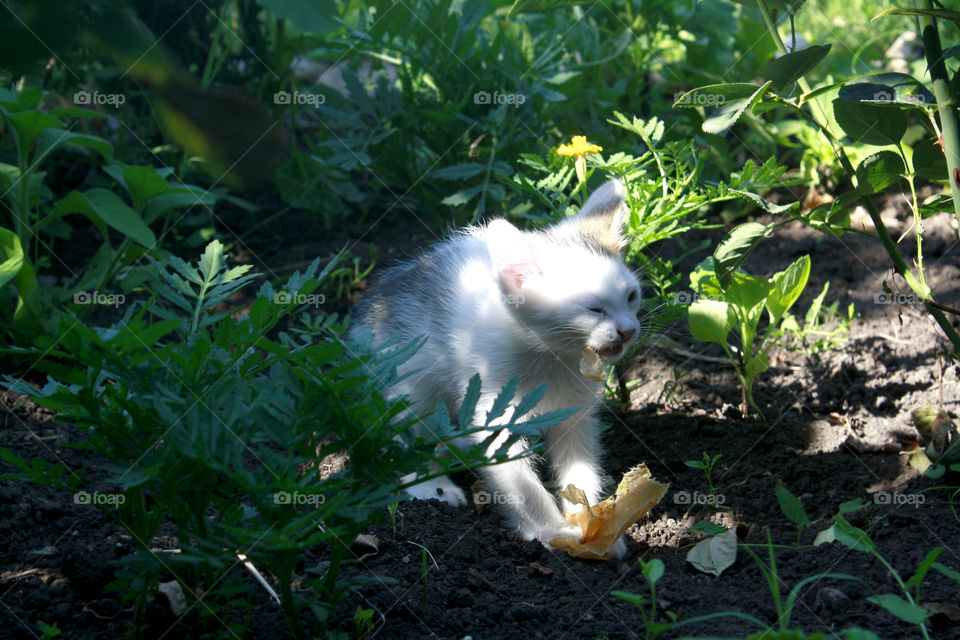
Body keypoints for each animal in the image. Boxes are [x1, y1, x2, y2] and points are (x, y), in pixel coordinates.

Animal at [348, 179, 640, 556]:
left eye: (632, 297)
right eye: (595, 309)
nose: (629, 330)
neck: (552, 354)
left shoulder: (574, 411)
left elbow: (580, 466)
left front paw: (591, 525)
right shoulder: (493, 411)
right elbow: (520, 483)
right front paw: (551, 530)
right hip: (405, 380)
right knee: (407, 433)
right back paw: (432, 487)